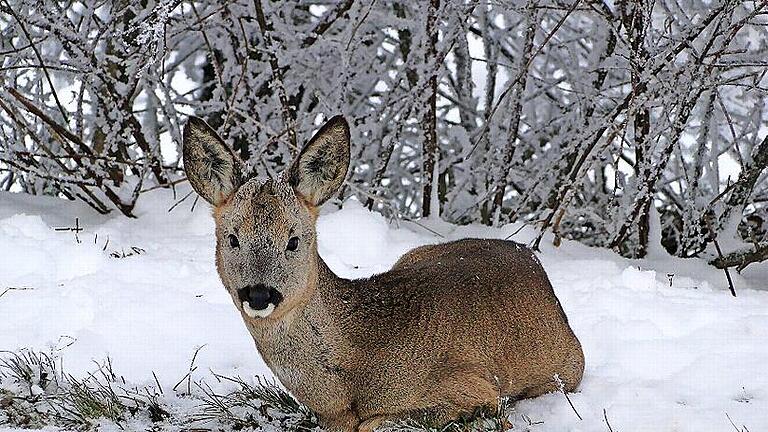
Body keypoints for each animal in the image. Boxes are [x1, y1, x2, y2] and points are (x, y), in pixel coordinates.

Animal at [183, 115, 584, 432]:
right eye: (233, 238)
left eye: (293, 240)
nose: (259, 294)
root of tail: (529, 256)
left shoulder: (476, 388)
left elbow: (376, 423)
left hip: (566, 371)